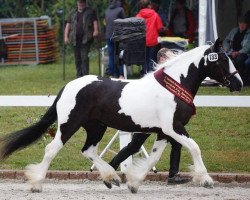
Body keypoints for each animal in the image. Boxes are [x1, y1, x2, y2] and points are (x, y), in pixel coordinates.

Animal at [0, 39, 242, 194]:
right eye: (222, 59)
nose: (238, 83)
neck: (174, 86)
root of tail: (68, 86)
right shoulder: (173, 127)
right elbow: (194, 147)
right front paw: (206, 180)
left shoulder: (162, 132)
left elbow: (153, 158)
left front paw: (134, 183)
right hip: (69, 125)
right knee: (52, 149)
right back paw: (36, 184)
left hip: (96, 127)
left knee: (88, 150)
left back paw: (112, 178)